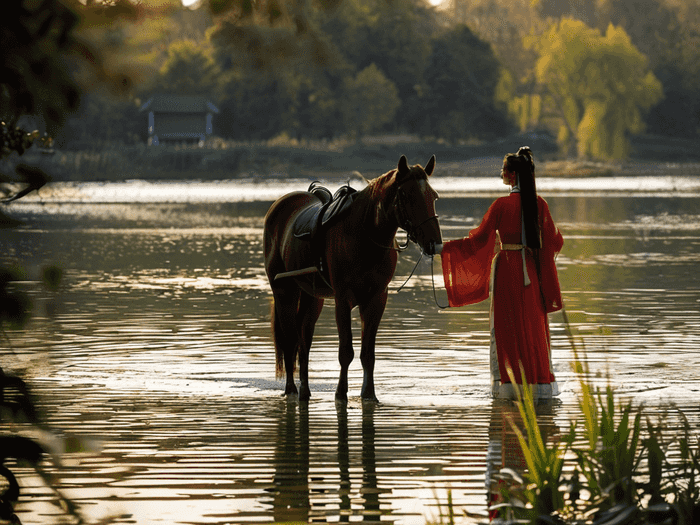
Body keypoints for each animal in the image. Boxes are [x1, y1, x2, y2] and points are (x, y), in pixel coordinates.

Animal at [262, 156, 442, 402]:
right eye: (406, 195)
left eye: (433, 195)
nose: (434, 242)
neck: (364, 235)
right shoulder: (343, 300)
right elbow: (346, 351)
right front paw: (341, 392)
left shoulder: (376, 299)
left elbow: (368, 354)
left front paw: (369, 394)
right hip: (284, 291)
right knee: (290, 340)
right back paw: (291, 389)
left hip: (312, 296)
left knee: (303, 339)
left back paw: (305, 391)